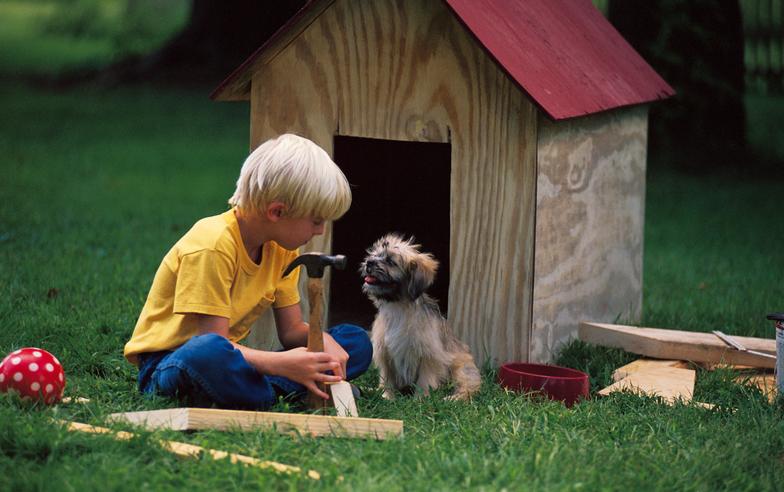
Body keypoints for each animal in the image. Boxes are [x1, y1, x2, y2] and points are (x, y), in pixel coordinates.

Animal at [360, 234, 478, 400]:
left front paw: (420, 399)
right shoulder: (385, 353)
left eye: (390, 261)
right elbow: (387, 377)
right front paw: (387, 396)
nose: (369, 262)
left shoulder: (429, 355)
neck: (398, 306)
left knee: (468, 387)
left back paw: (454, 398)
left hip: (461, 367)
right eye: (374, 254)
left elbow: (425, 379)